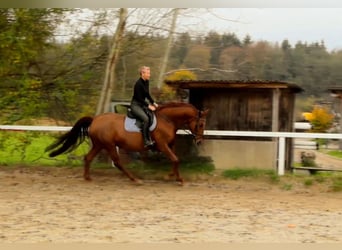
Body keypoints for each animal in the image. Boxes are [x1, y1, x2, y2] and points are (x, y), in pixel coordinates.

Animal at [45, 102, 208, 184]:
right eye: (200, 124)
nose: (200, 141)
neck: (167, 119)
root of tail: (95, 119)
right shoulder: (162, 145)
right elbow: (175, 159)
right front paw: (176, 178)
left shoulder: (170, 145)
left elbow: (175, 160)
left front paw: (172, 176)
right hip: (109, 145)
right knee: (117, 162)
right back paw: (134, 179)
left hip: (99, 144)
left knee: (88, 158)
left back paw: (88, 177)